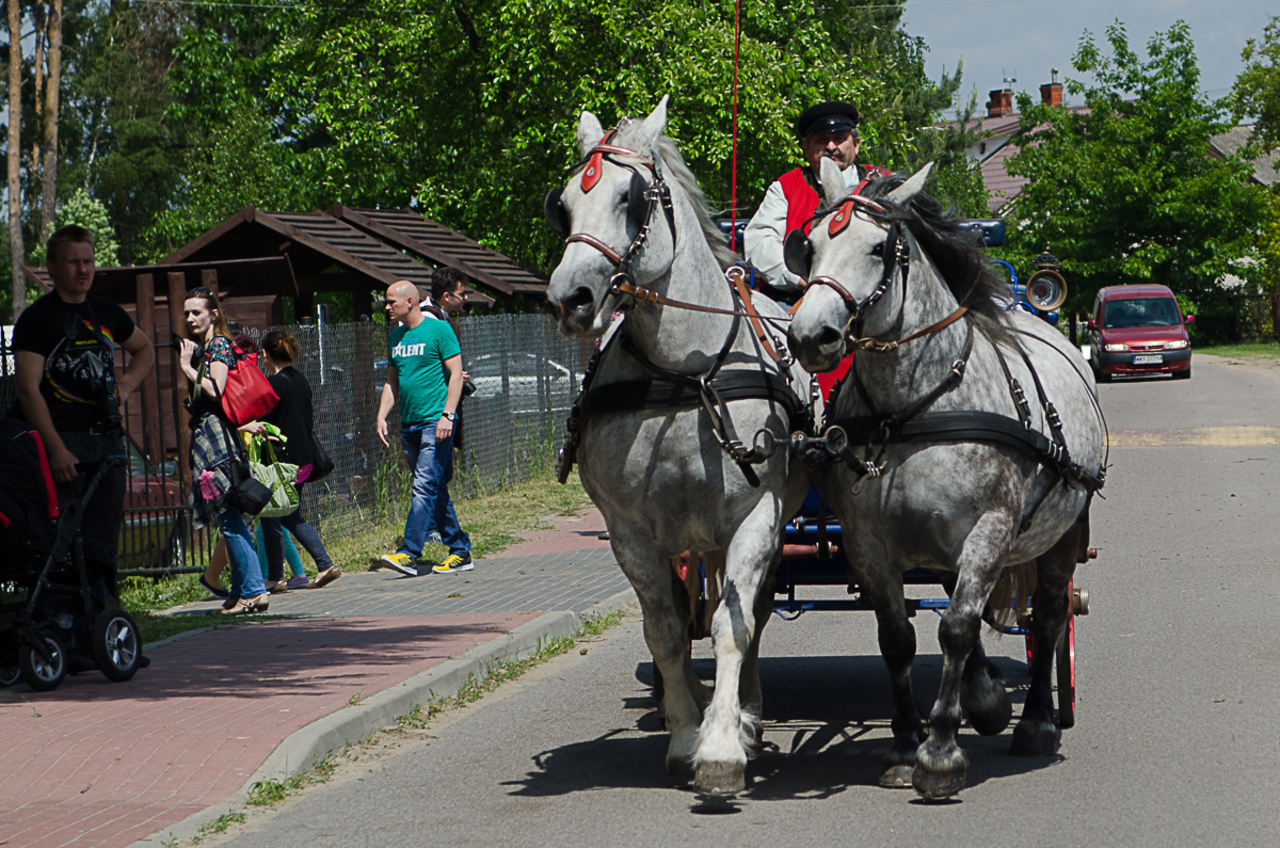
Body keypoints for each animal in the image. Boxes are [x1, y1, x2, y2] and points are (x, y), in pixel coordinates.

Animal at [540, 99, 808, 799]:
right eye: (563, 205)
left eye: (632, 199)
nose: (570, 297)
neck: (684, 378)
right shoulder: (631, 532)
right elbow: (664, 632)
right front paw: (688, 733)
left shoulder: (756, 517)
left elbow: (734, 624)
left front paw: (723, 744)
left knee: (748, 610)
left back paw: (746, 713)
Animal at [783, 161, 1105, 804]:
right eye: (810, 246)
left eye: (879, 248)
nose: (811, 335)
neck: (910, 409)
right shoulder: (869, 545)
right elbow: (899, 638)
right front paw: (907, 744)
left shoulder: (991, 528)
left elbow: (956, 627)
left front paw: (939, 754)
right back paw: (984, 696)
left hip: (1062, 531)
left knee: (1047, 614)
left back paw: (1035, 720)